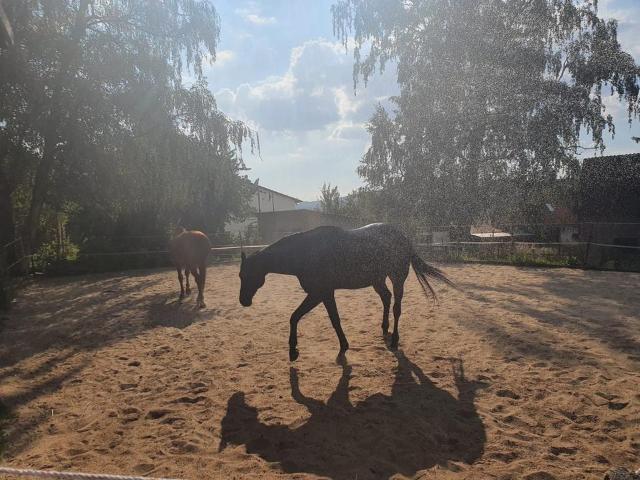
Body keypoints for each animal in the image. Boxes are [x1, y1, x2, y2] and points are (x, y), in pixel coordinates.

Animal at [239, 223, 455, 361]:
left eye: (246, 275)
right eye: (240, 275)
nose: (243, 301)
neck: (306, 253)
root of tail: (403, 236)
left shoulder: (319, 293)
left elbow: (295, 317)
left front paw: (293, 351)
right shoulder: (325, 294)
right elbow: (333, 320)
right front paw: (343, 345)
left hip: (397, 278)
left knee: (396, 307)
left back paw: (394, 340)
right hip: (377, 280)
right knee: (386, 299)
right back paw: (384, 328)